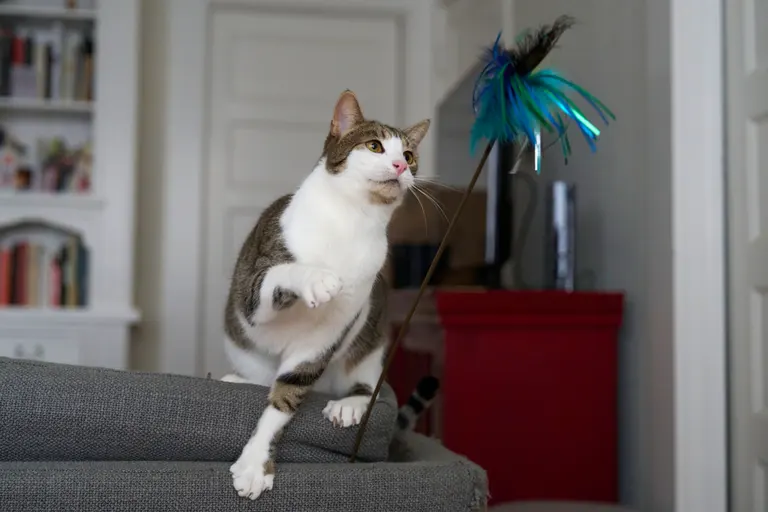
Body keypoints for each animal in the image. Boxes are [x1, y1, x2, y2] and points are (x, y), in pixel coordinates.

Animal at [220, 89, 432, 500]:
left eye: (409, 153)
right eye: (374, 145)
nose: (401, 165)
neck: (352, 221)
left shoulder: (327, 333)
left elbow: (287, 394)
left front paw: (255, 463)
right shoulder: (255, 286)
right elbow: (278, 276)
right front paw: (317, 279)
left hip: (371, 340)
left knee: (367, 382)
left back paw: (349, 403)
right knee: (257, 377)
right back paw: (235, 380)